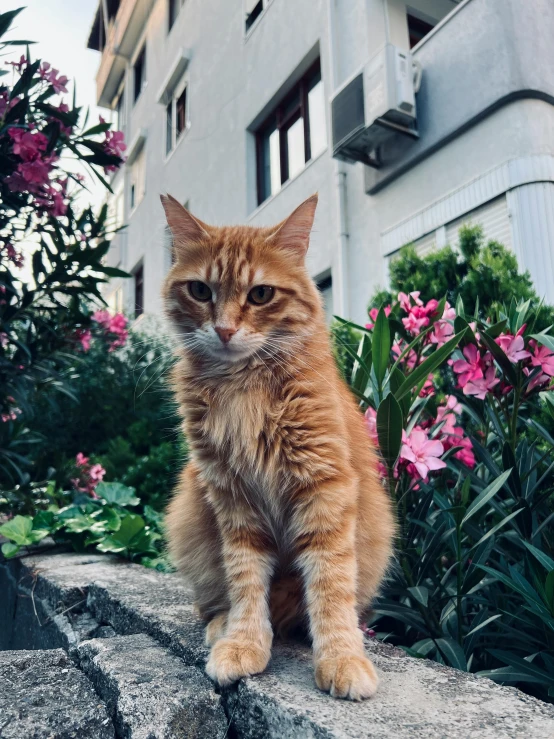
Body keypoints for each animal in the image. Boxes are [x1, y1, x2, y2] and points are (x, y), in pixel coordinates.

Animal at [160, 194, 392, 704]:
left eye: (260, 295)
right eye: (200, 291)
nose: (225, 330)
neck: (243, 386)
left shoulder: (324, 487)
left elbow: (329, 584)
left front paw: (341, 657)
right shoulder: (232, 496)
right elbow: (246, 581)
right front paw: (244, 641)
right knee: (216, 600)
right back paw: (222, 626)